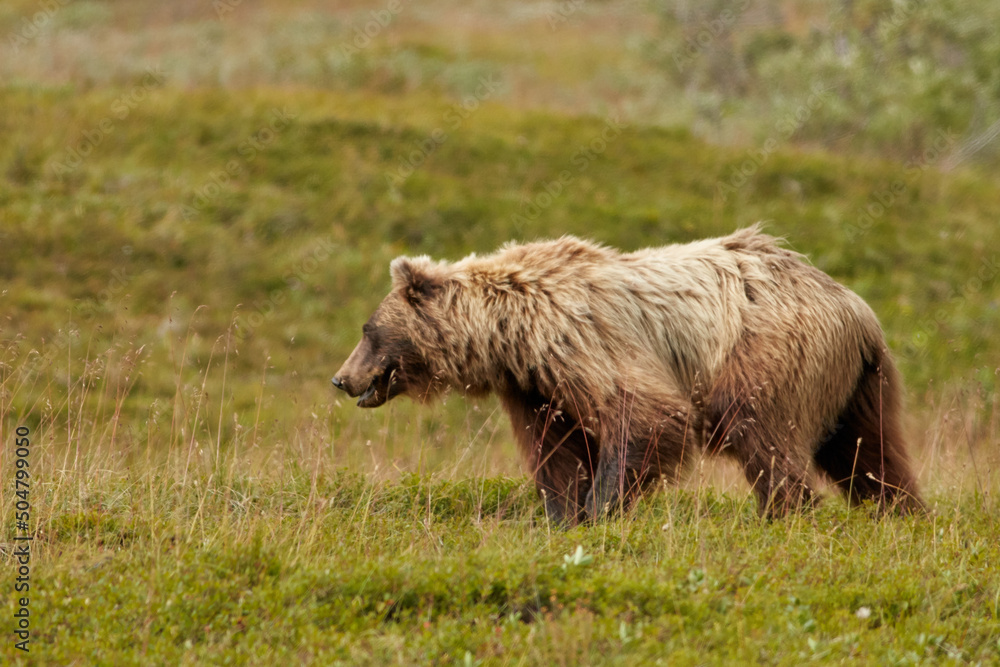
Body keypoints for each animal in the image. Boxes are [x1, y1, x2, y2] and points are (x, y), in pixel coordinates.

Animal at [332, 226, 923, 523]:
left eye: (367, 329)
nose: (342, 378)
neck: (509, 334)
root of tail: (856, 307)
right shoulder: (535, 385)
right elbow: (557, 450)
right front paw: (560, 512)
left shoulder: (581, 339)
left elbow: (645, 414)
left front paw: (600, 510)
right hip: (856, 383)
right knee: (869, 453)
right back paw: (901, 512)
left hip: (768, 353)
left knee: (762, 432)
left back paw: (782, 514)